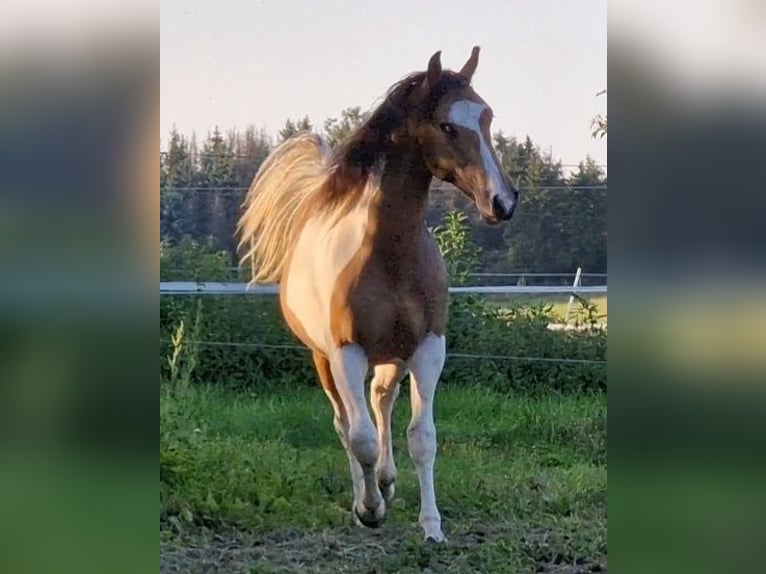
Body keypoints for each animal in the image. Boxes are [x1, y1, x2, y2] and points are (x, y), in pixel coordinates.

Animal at [237, 46, 520, 544]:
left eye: (486, 116)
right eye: (447, 125)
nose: (502, 202)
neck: (390, 255)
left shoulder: (429, 348)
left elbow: (421, 437)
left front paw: (431, 527)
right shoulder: (347, 352)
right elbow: (361, 439)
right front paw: (369, 510)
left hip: (393, 356)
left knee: (381, 401)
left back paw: (388, 482)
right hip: (326, 360)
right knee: (348, 423)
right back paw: (368, 496)